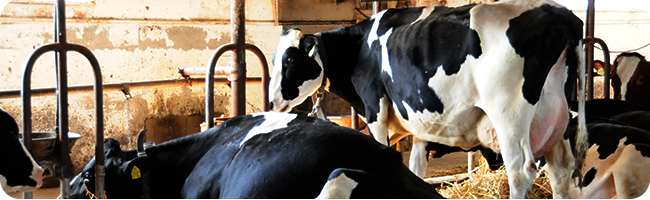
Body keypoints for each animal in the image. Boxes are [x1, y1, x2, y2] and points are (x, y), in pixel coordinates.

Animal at [268, 0, 584, 198]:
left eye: (291, 60)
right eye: (273, 60)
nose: (272, 102)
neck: (361, 46)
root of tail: (559, 14)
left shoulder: (374, 109)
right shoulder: (420, 124)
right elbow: (417, 167)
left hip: (509, 116)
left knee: (520, 173)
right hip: (560, 117)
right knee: (560, 172)